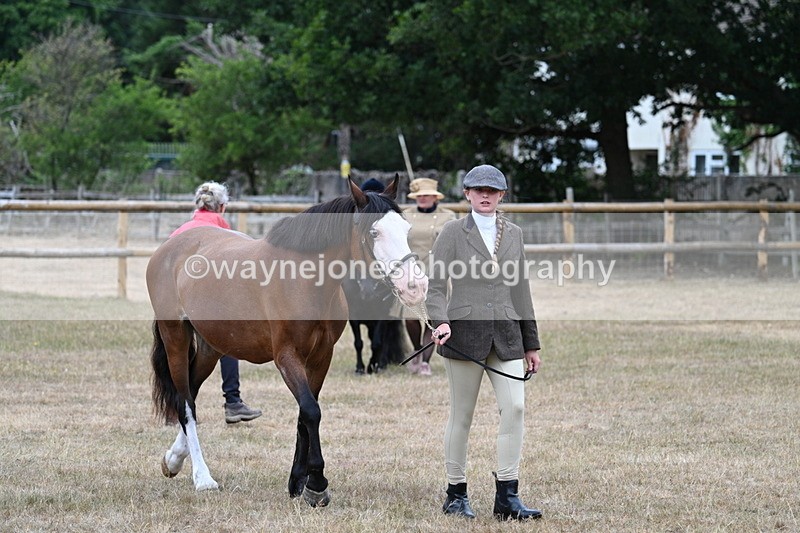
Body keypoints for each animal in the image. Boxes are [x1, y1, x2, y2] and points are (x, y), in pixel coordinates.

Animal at [146, 176, 427, 507]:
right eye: (374, 232)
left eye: (406, 229)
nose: (415, 285)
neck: (304, 281)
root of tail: (169, 248)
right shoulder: (286, 357)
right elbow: (311, 411)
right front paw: (317, 484)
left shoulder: (320, 357)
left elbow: (306, 413)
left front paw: (299, 482)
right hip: (175, 338)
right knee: (185, 403)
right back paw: (203, 478)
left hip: (209, 347)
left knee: (191, 391)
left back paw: (174, 459)